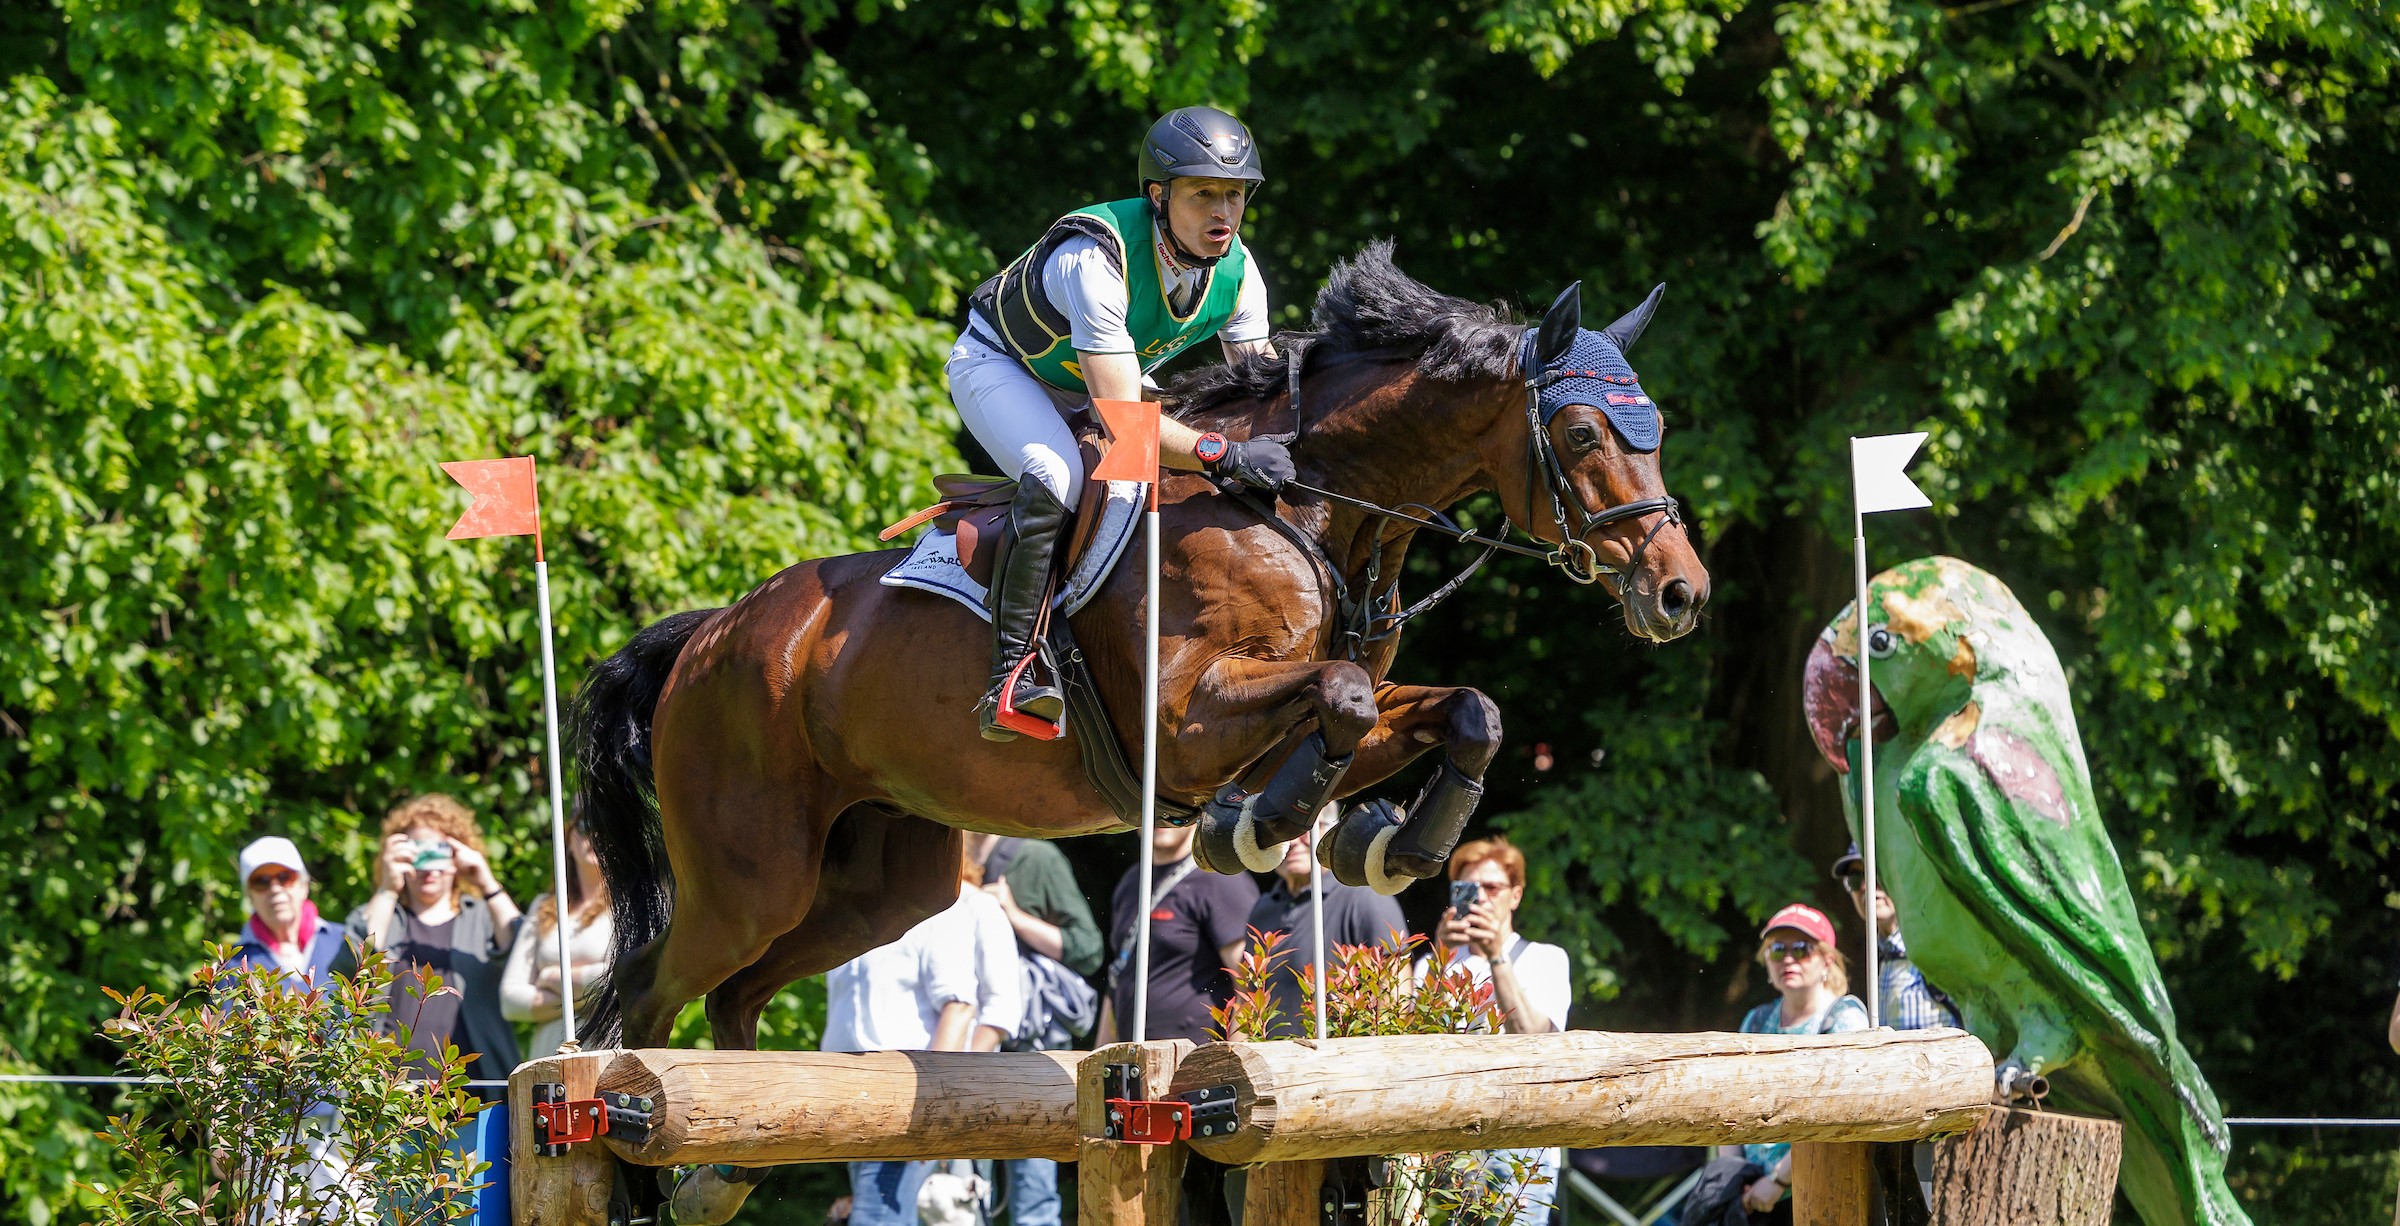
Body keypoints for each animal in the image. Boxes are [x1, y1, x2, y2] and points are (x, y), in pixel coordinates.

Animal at [578, 242, 1708, 1065]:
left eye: (1653, 425)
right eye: (1580, 432)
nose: (1680, 592)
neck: (1308, 507)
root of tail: (712, 634)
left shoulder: (1335, 712)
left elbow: (1464, 709)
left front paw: (1383, 847)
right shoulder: (1188, 716)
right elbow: (1339, 695)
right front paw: (1257, 829)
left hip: (883, 884)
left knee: (735, 995)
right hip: (752, 872)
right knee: (649, 995)